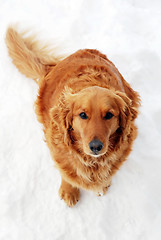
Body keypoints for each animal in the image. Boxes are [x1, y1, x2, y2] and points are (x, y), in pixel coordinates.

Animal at [5, 25, 140, 206]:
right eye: (82, 114)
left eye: (109, 115)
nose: (96, 146)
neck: (92, 163)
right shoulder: (59, 151)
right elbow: (66, 172)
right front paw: (69, 190)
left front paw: (103, 184)